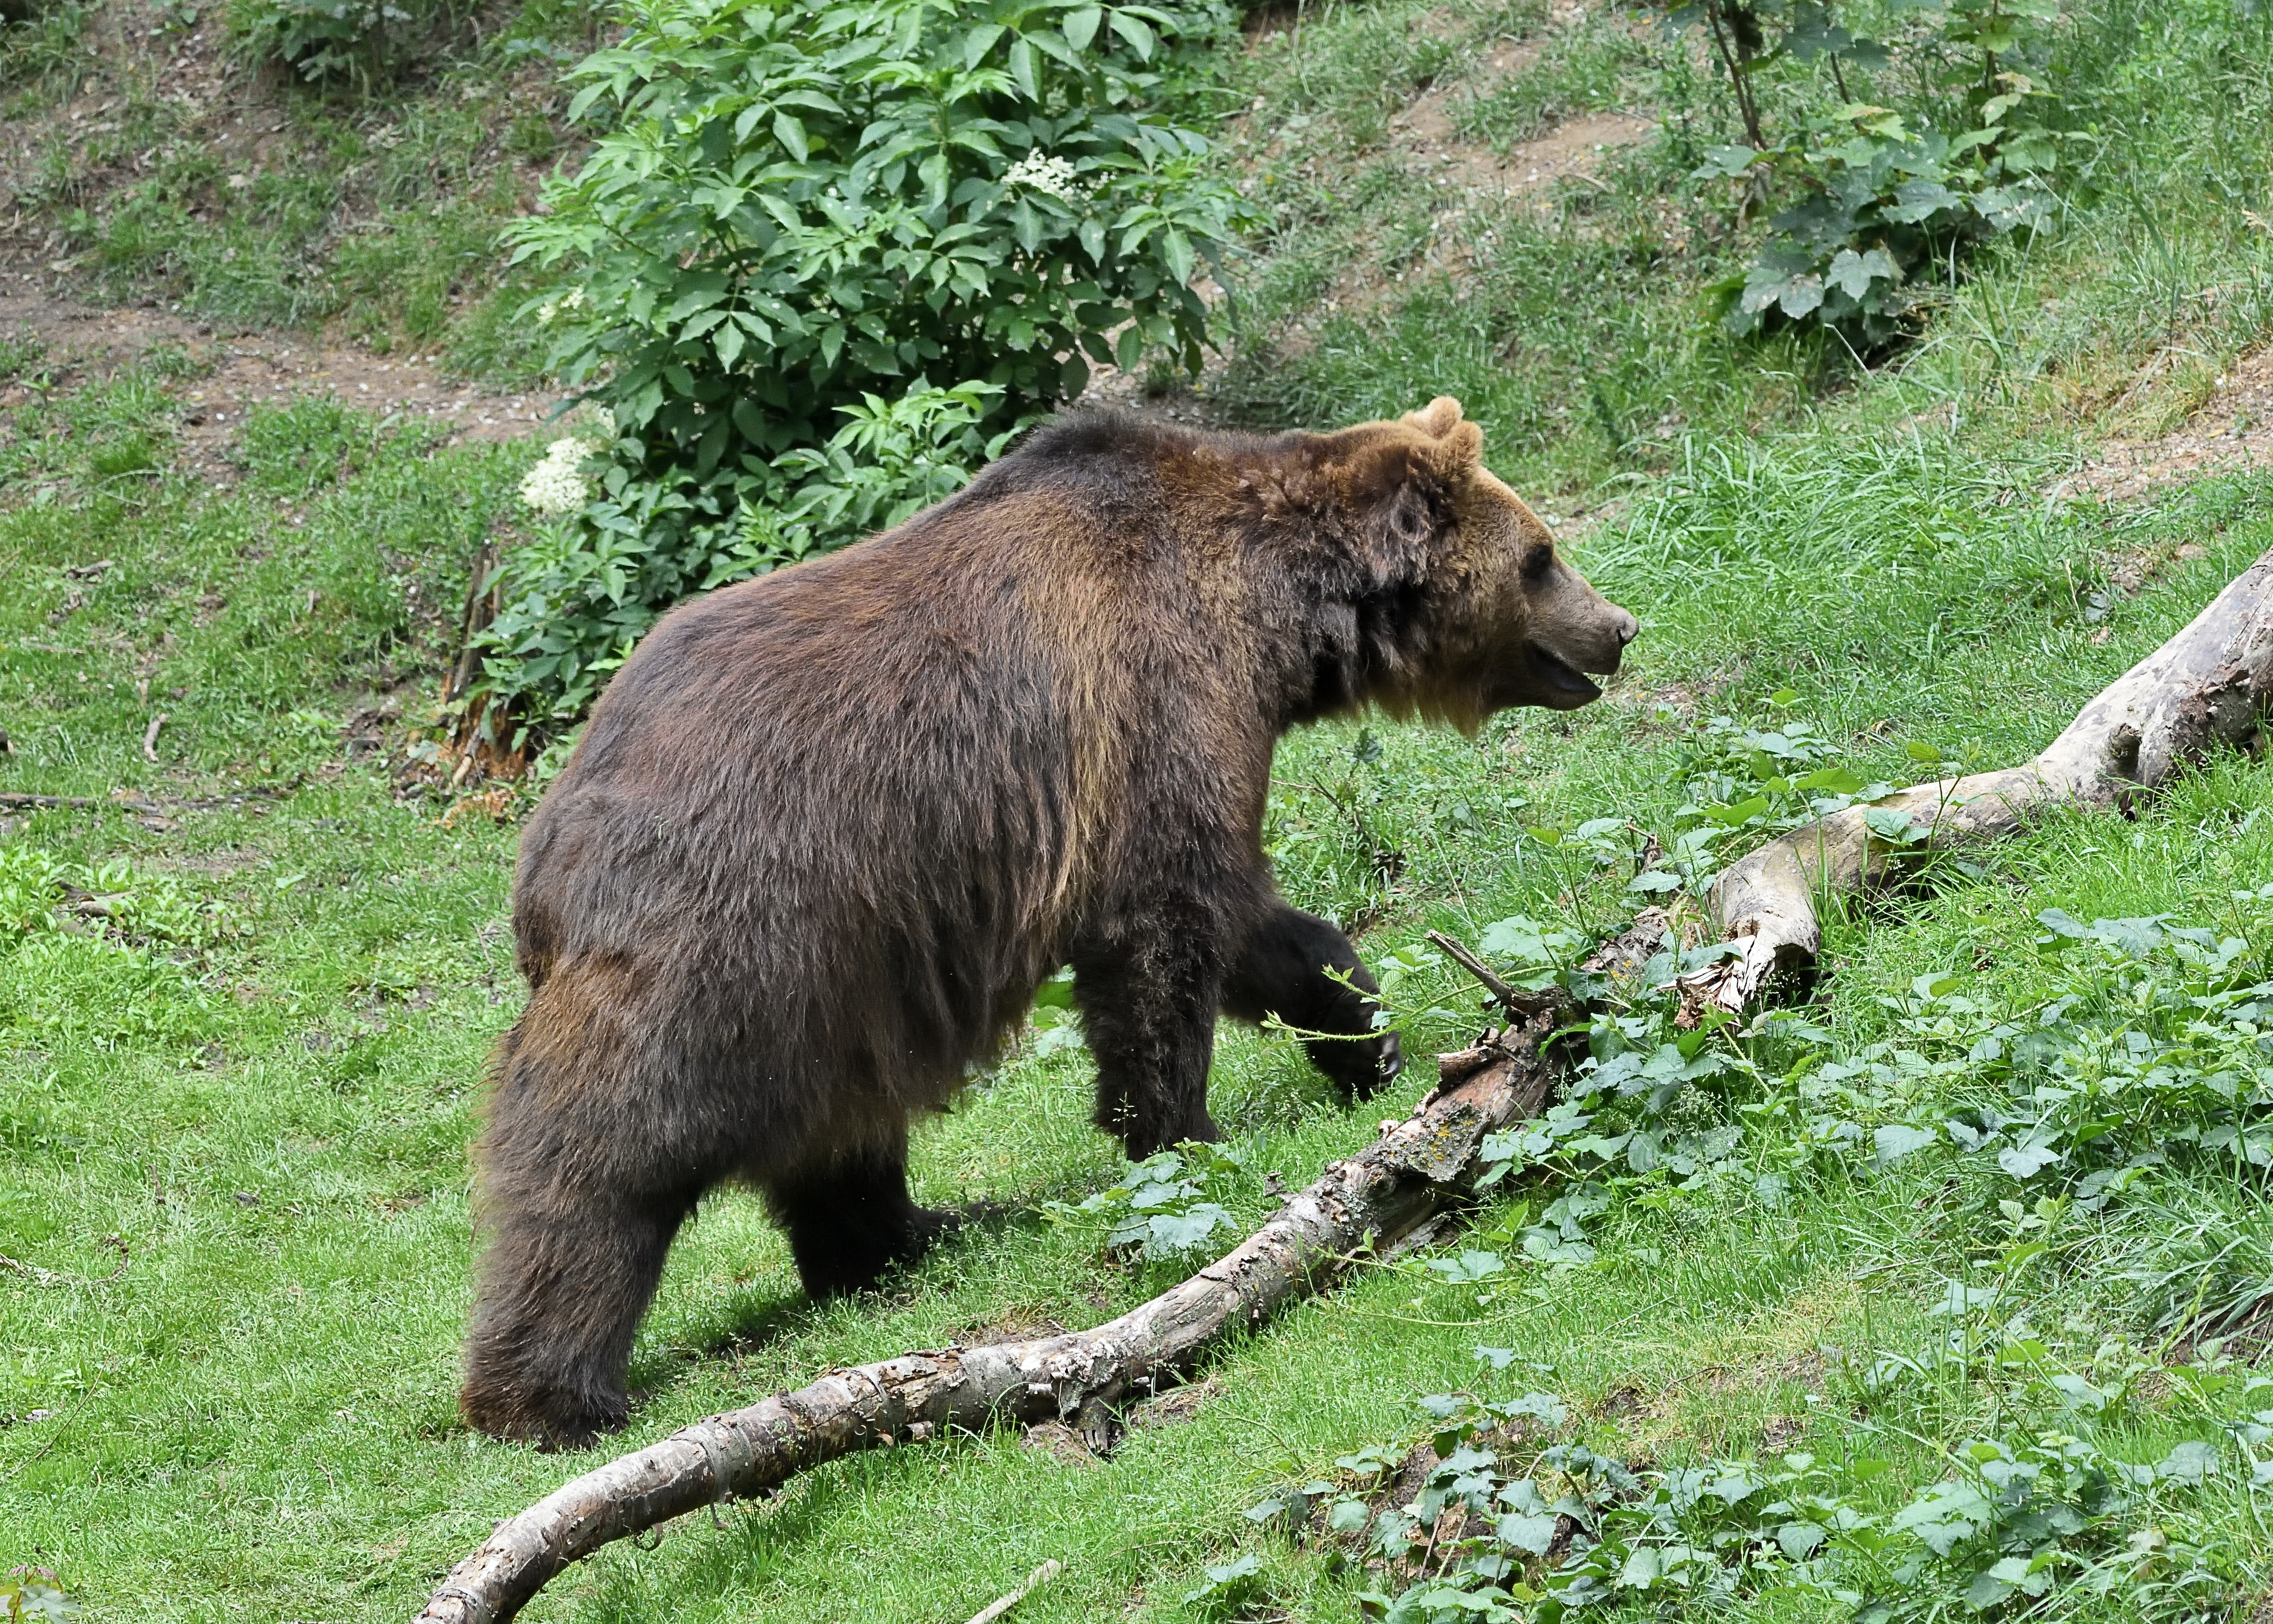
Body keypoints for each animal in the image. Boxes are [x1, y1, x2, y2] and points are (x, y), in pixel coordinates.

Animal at [460, 396, 1636, 1446]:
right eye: (1540, 555)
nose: (1619, 626)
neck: (1272, 616)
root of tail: (547, 845)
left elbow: (1255, 924)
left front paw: (1363, 1037)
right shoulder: (1150, 700)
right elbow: (1164, 935)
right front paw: (1182, 1132)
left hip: (839, 971)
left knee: (838, 1125)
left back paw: (909, 1236)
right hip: (734, 922)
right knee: (607, 1133)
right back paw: (546, 1392)